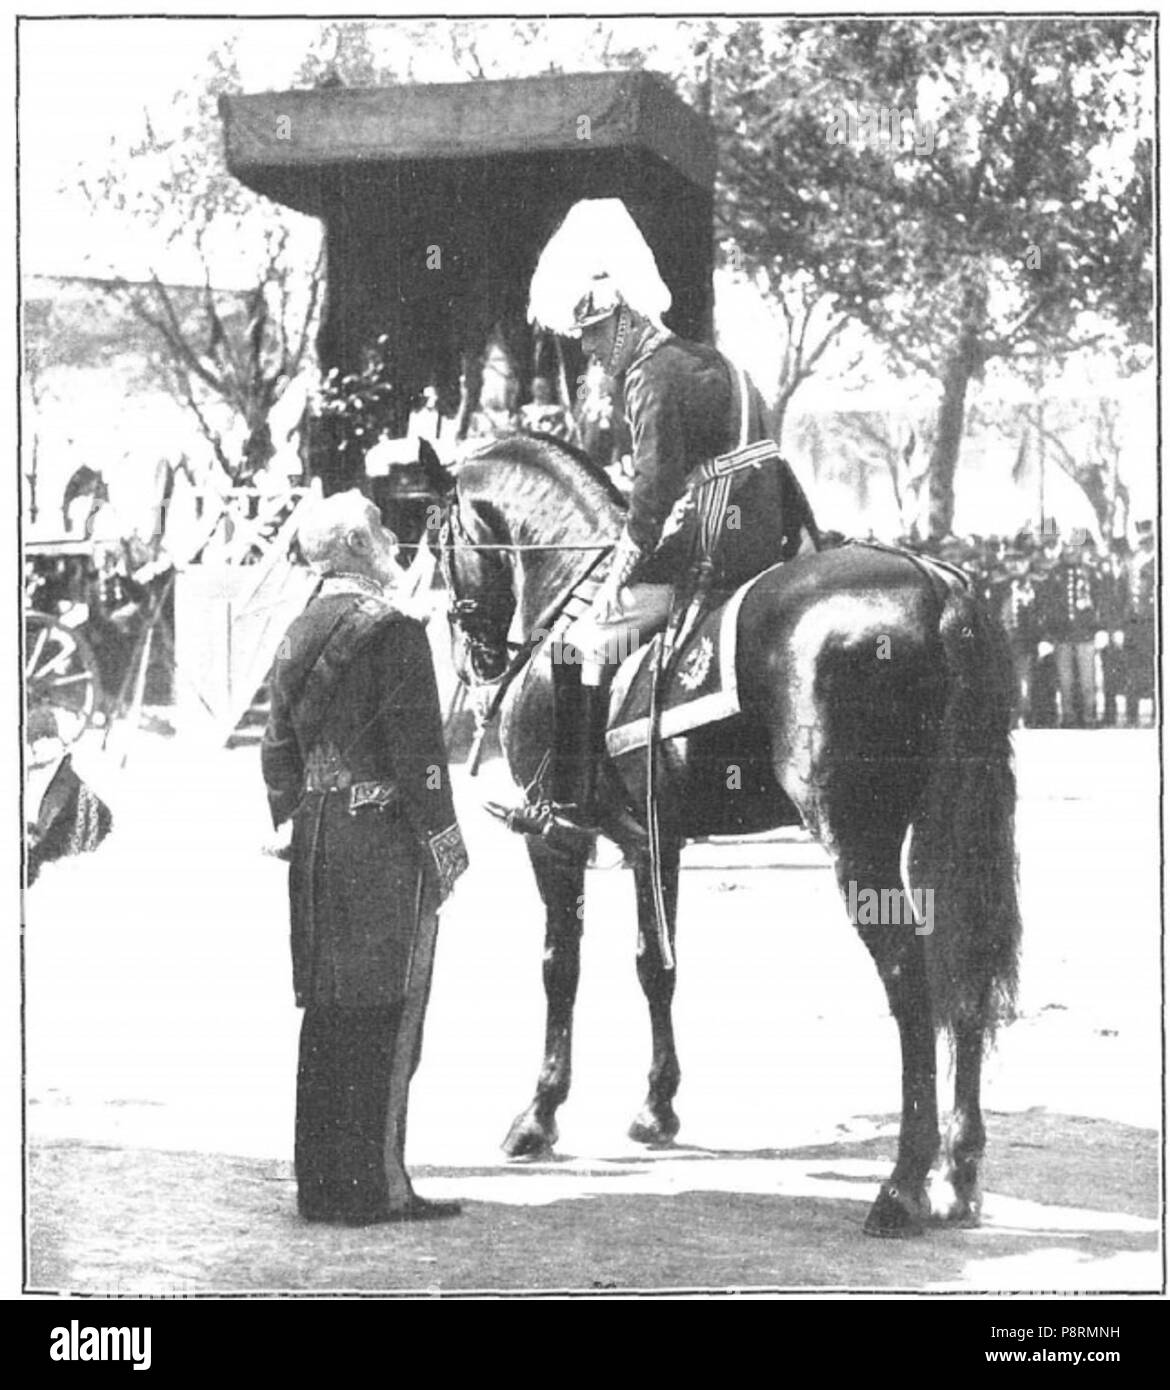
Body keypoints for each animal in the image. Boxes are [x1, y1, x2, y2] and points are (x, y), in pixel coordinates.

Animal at [433, 436, 1017, 1239]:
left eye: (440, 537)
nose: (476, 657)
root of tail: (937, 586)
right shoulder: (653, 841)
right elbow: (655, 966)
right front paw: (656, 1107)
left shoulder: (556, 842)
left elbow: (560, 966)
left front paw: (539, 1113)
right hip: (942, 835)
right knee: (965, 973)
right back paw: (958, 1172)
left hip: (859, 844)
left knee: (912, 980)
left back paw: (902, 1186)